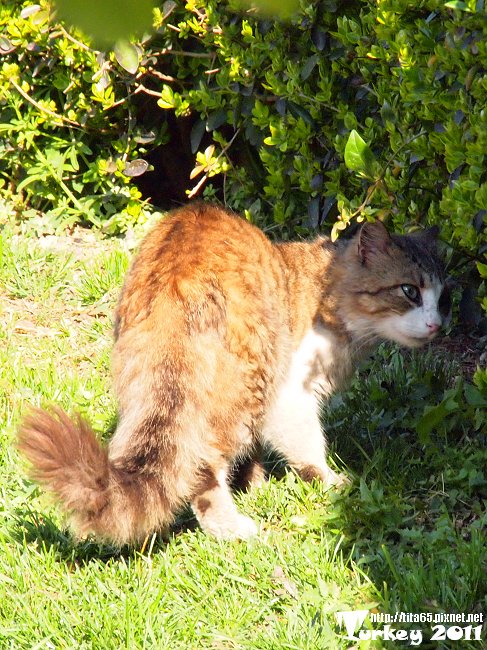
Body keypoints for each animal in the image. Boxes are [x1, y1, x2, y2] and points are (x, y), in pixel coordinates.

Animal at [17, 202, 452, 540]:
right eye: (409, 291)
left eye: (443, 298)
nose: (437, 325)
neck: (326, 289)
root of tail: (180, 274)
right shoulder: (289, 392)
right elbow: (308, 447)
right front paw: (332, 483)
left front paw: (254, 483)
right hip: (247, 381)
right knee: (202, 467)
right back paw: (231, 528)